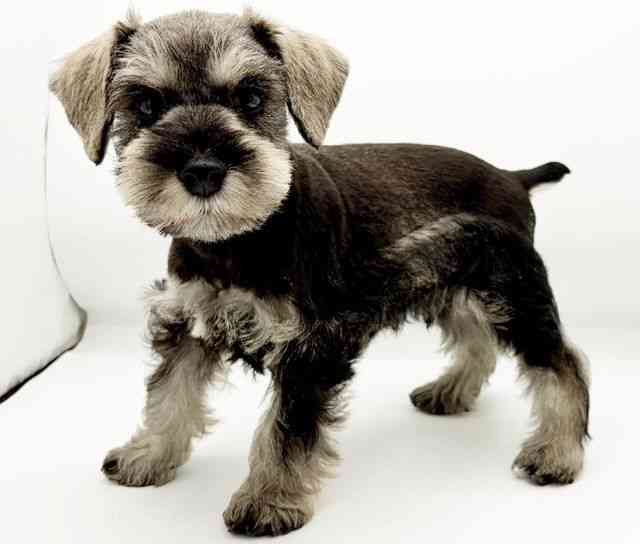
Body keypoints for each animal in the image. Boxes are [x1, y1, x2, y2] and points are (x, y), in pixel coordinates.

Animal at [50, 8, 590, 537]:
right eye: (144, 104)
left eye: (251, 97)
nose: (203, 171)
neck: (239, 239)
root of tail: (511, 177)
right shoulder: (190, 319)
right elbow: (169, 393)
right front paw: (147, 456)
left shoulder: (311, 344)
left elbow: (285, 430)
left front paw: (267, 501)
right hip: (448, 283)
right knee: (477, 338)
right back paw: (449, 391)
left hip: (511, 290)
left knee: (560, 362)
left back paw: (556, 453)